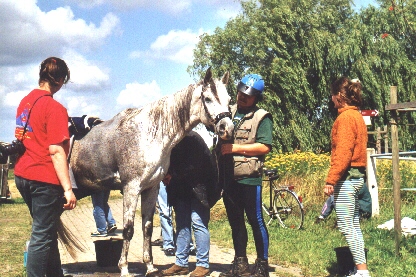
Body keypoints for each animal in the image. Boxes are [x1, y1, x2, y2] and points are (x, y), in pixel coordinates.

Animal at [68, 68, 234, 276]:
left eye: (229, 99)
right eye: (208, 98)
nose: (227, 129)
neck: (148, 135)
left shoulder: (151, 188)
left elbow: (146, 228)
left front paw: (150, 267)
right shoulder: (131, 188)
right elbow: (128, 229)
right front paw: (124, 268)